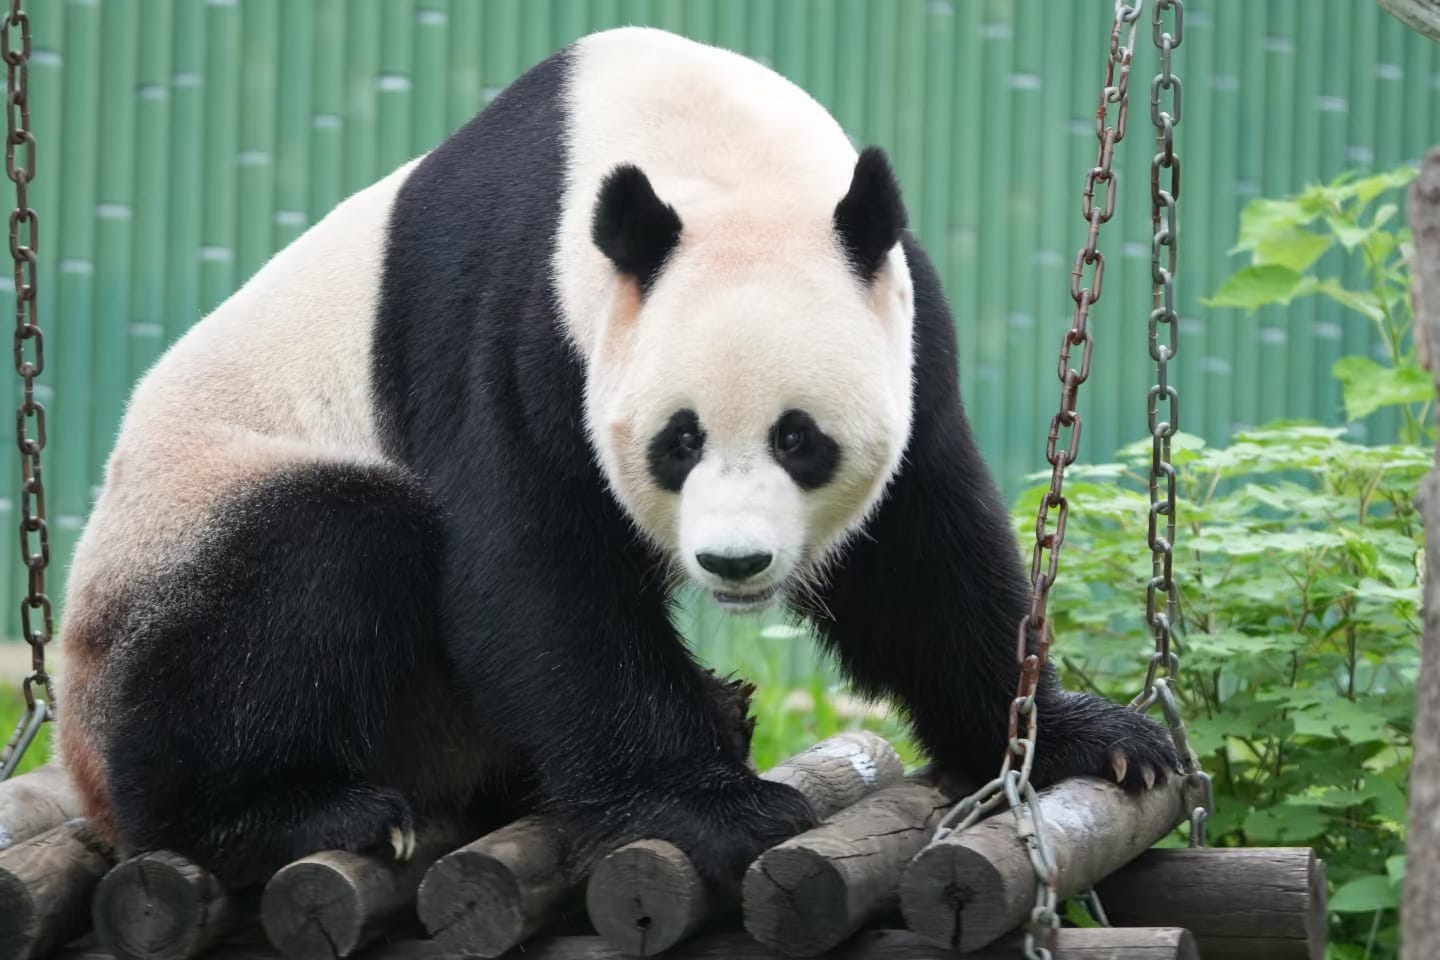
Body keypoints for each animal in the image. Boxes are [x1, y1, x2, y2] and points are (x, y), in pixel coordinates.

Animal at [56, 26, 1179, 889]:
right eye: (681, 440)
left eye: (800, 439)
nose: (735, 564)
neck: (719, 160)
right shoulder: (521, 321)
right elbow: (534, 571)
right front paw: (710, 812)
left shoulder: (906, 325)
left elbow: (919, 559)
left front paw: (1090, 739)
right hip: (181, 532)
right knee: (312, 560)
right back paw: (306, 814)